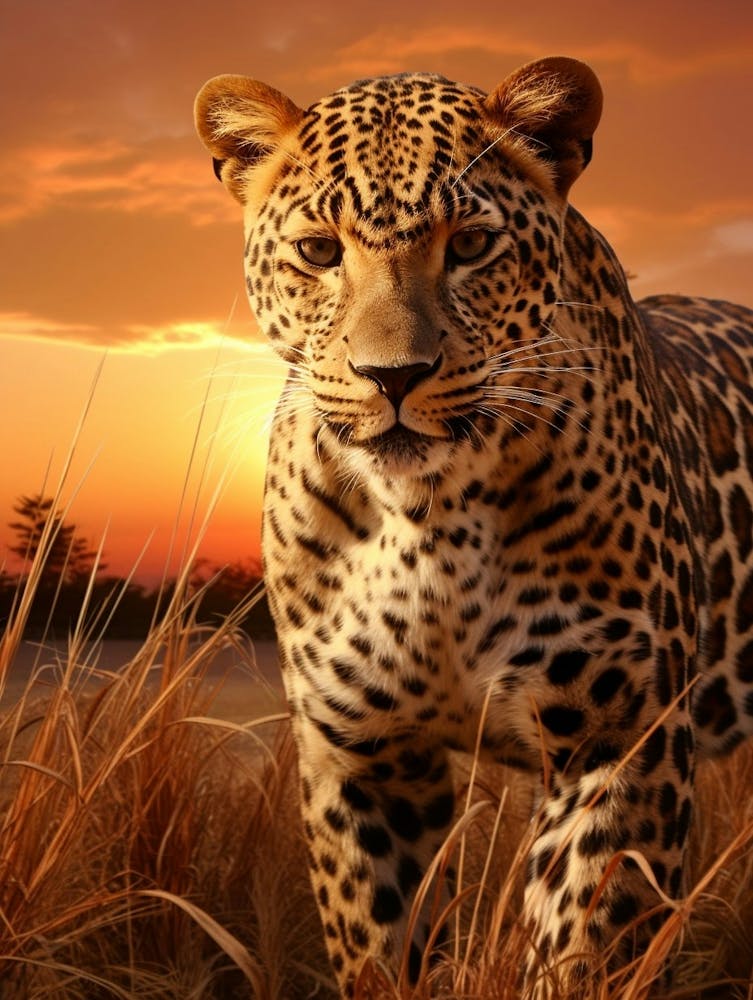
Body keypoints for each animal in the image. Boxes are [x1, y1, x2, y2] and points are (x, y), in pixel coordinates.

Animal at [195, 56, 753, 997]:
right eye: (319, 251)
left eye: (469, 246)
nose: (393, 376)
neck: (428, 518)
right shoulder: (361, 760)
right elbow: (381, 951)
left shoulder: (619, 746)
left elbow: (580, 948)